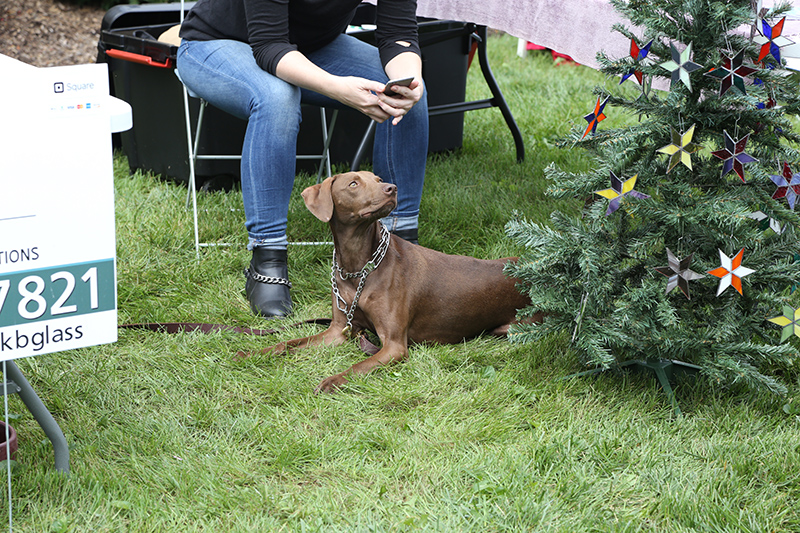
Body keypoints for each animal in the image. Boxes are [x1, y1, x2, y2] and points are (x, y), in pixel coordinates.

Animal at [264, 171, 532, 390]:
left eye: (378, 179)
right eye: (353, 184)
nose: (391, 188)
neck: (358, 268)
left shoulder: (394, 346)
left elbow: (358, 366)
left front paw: (333, 380)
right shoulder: (339, 329)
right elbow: (288, 343)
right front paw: (259, 352)